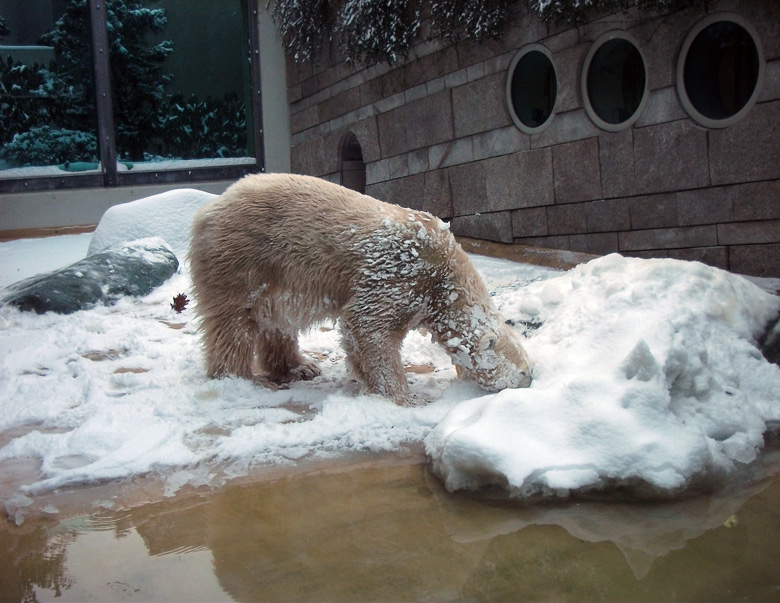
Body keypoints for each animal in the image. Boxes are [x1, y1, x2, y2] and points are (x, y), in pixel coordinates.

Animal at [190, 172, 532, 404]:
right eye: (523, 370)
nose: (530, 379)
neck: (444, 274)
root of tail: (207, 210)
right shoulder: (400, 271)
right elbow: (369, 324)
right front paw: (403, 397)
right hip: (242, 259)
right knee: (234, 324)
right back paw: (238, 377)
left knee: (276, 321)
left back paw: (300, 367)